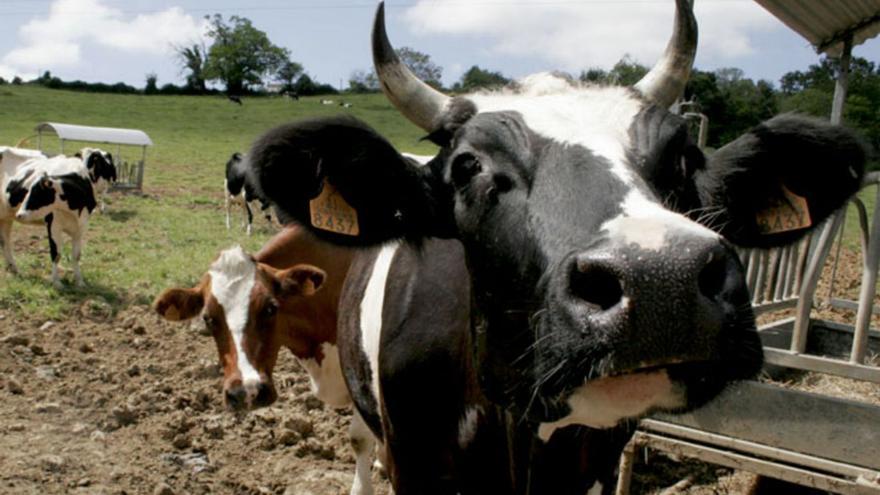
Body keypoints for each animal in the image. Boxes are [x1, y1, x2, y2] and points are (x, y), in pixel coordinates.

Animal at [0, 147, 97, 286]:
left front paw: (79, 281)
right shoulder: (53, 225)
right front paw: (56, 282)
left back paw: (14, 269)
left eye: (36, 194)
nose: (19, 214)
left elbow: (76, 255)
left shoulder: (81, 227)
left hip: (6, 217)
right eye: (27, 192)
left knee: (5, 241)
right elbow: (56, 253)